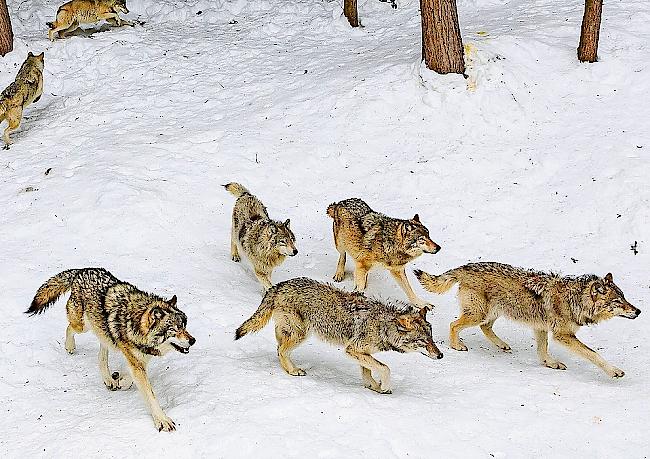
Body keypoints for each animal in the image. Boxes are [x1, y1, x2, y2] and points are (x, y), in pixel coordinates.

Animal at [27, 268, 195, 434]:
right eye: (175, 330)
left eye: (184, 326)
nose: (193, 340)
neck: (135, 324)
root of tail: (81, 271)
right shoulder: (136, 362)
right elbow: (150, 394)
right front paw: (162, 420)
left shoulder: (140, 359)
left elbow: (130, 378)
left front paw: (120, 380)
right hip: (83, 326)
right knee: (69, 328)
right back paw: (70, 347)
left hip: (102, 333)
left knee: (101, 355)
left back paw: (109, 379)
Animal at [233, 278, 440, 394]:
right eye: (423, 341)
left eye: (432, 338)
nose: (441, 355)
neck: (383, 326)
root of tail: (278, 285)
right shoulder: (353, 349)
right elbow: (385, 368)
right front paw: (384, 386)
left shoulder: (360, 352)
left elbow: (368, 370)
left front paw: (373, 386)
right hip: (301, 334)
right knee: (282, 350)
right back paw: (293, 371)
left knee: (278, 348)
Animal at [412, 264, 640, 380]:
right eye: (618, 302)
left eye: (625, 298)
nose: (638, 311)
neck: (575, 300)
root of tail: (464, 266)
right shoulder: (563, 336)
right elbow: (594, 354)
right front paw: (614, 371)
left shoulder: (541, 328)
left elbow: (542, 350)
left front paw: (550, 363)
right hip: (479, 313)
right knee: (454, 325)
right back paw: (456, 345)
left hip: (493, 313)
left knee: (485, 328)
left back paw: (502, 345)